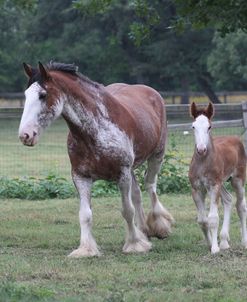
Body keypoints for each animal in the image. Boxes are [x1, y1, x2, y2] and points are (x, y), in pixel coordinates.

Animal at [189, 102, 247, 254]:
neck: (202, 163)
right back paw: (224, 241)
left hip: (237, 180)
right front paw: (210, 244)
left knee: (241, 206)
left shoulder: (213, 186)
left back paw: (244, 242)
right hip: (221, 183)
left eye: (209, 127)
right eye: (193, 126)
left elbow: (213, 218)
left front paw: (215, 248)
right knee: (228, 200)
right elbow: (202, 220)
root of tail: (235, 138)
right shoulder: (197, 189)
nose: (201, 149)